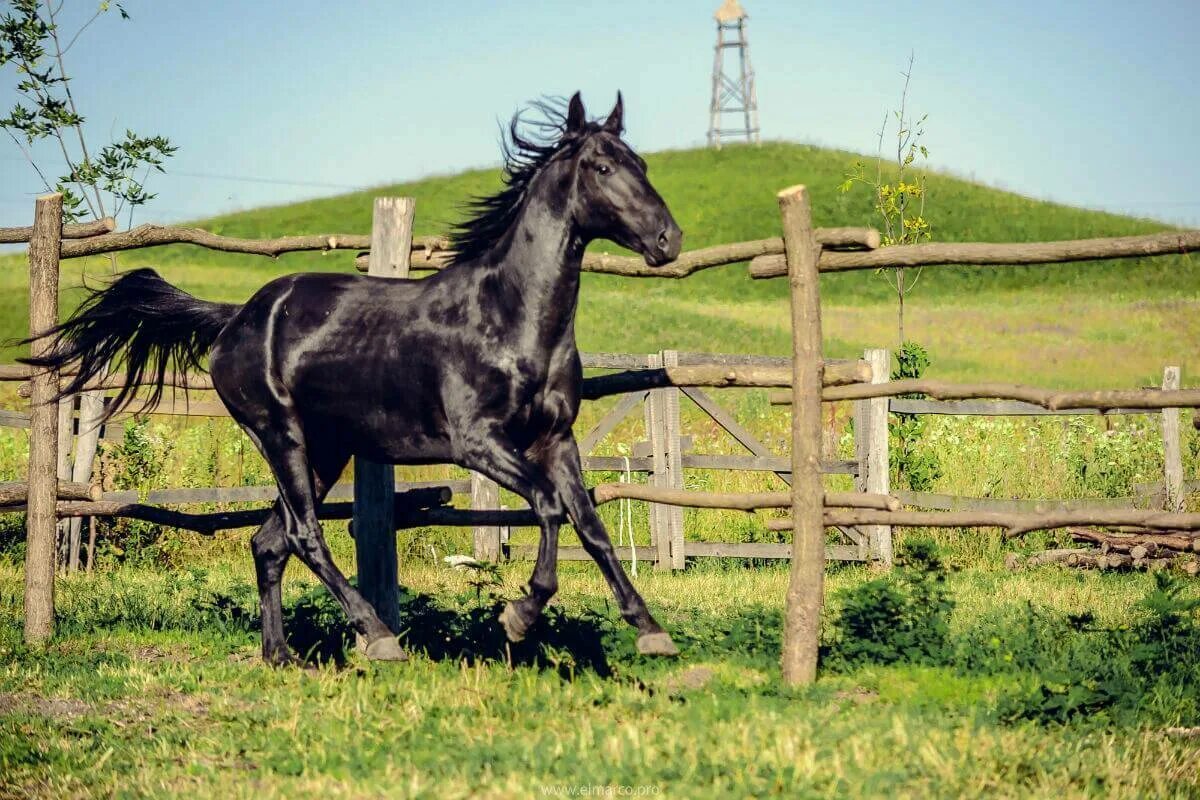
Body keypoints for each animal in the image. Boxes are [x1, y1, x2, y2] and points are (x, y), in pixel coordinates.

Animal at [23, 92, 686, 662]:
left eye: (643, 163)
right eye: (602, 165)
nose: (668, 240)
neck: (509, 316)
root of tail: (237, 316)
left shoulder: (556, 439)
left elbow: (591, 525)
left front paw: (649, 630)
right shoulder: (479, 444)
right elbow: (549, 508)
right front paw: (520, 614)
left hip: (324, 451)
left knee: (269, 542)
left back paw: (282, 655)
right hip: (281, 436)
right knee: (305, 535)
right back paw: (378, 636)